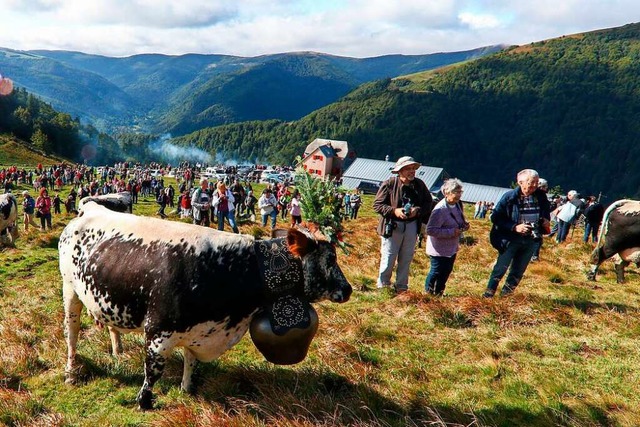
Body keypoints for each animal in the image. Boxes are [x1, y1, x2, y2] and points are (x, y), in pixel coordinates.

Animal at [58, 204, 352, 412]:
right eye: (330, 258)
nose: (348, 289)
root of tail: (91, 207)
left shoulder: (199, 329)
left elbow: (191, 360)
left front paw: (187, 389)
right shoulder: (159, 331)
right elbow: (153, 370)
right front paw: (144, 402)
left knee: (111, 328)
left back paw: (117, 352)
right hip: (70, 290)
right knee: (71, 333)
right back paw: (71, 372)